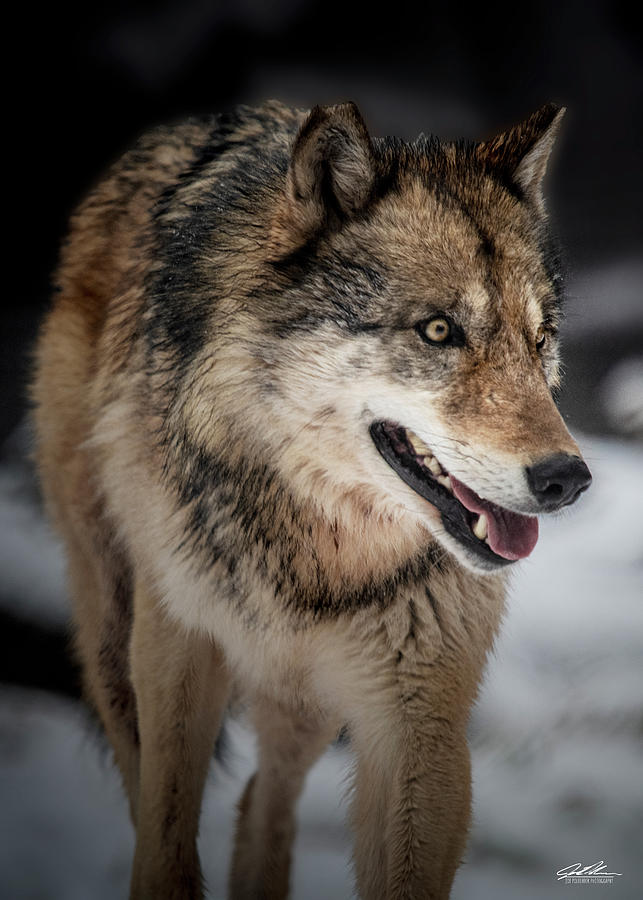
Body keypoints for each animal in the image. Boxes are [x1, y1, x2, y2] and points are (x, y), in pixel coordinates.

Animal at [30, 100, 592, 900]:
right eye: (438, 330)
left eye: (539, 339)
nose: (566, 479)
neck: (316, 541)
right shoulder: (178, 649)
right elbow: (164, 845)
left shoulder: (416, 717)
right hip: (114, 634)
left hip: (307, 703)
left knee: (261, 801)